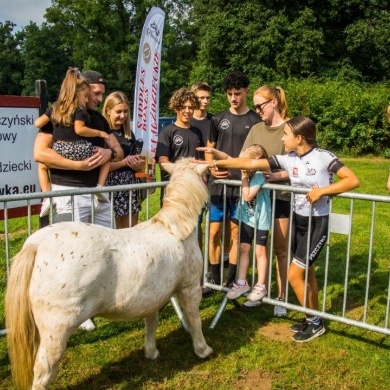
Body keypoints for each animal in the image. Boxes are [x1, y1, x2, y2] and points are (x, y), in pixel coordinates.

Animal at [5, 158, 213, 390]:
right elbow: (194, 320)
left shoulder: (153, 297)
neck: (174, 229)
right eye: (206, 176)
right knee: (44, 370)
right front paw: (203, 349)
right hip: (55, 332)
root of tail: (37, 244)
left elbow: (151, 323)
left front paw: (151, 352)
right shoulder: (189, 289)